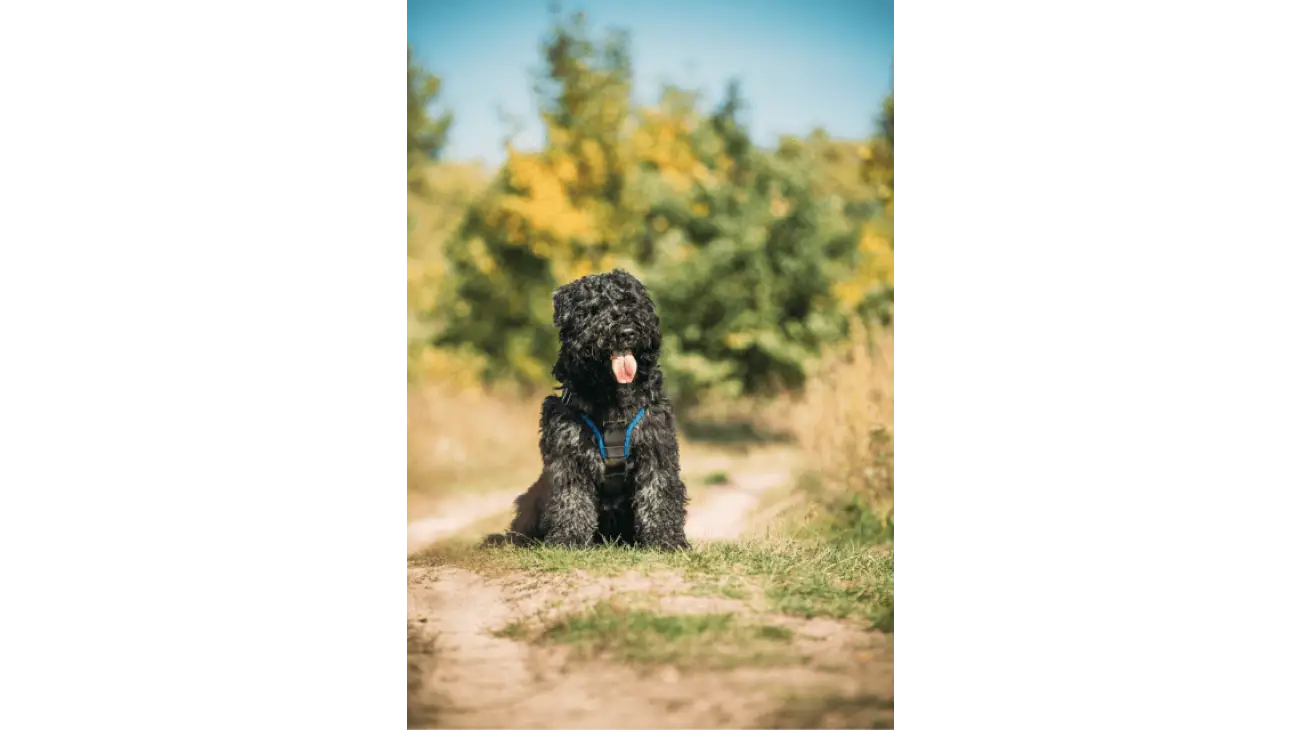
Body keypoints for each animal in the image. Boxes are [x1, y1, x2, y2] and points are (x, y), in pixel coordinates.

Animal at [488, 270, 691, 548]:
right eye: (596, 308)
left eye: (632, 303)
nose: (627, 332)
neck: (612, 396)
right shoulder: (568, 452)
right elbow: (571, 499)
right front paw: (568, 538)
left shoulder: (655, 446)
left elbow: (658, 493)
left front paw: (666, 539)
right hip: (531, 498)